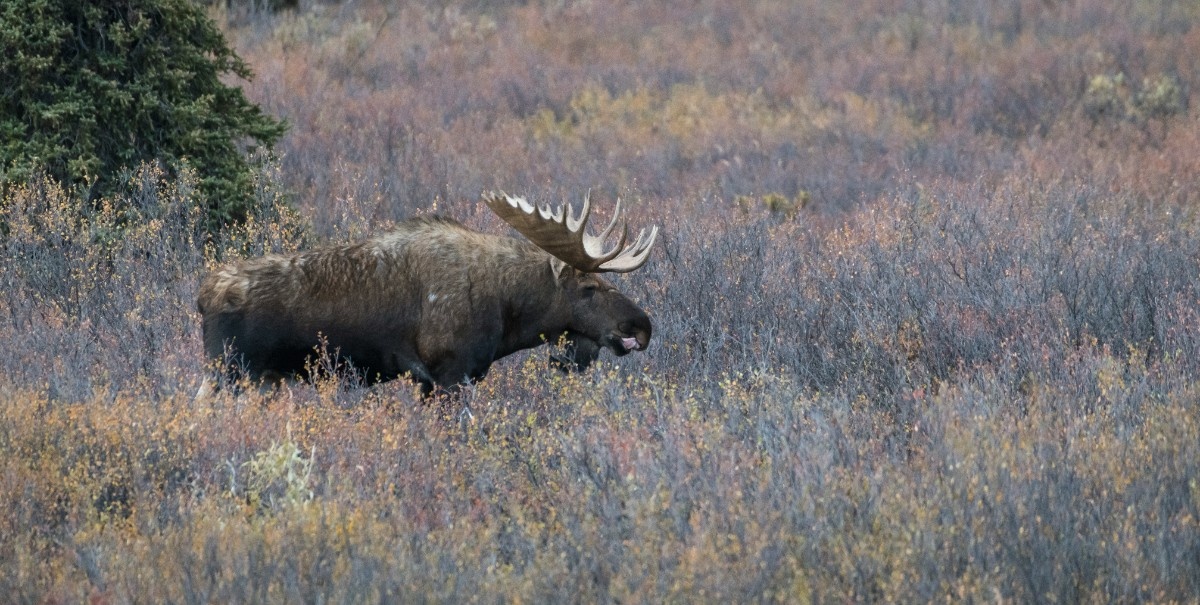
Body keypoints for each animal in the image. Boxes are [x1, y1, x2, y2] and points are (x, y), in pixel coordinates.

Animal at [200, 190, 662, 393]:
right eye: (589, 286)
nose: (641, 326)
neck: (508, 311)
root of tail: (203, 297)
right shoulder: (448, 373)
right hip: (232, 373)